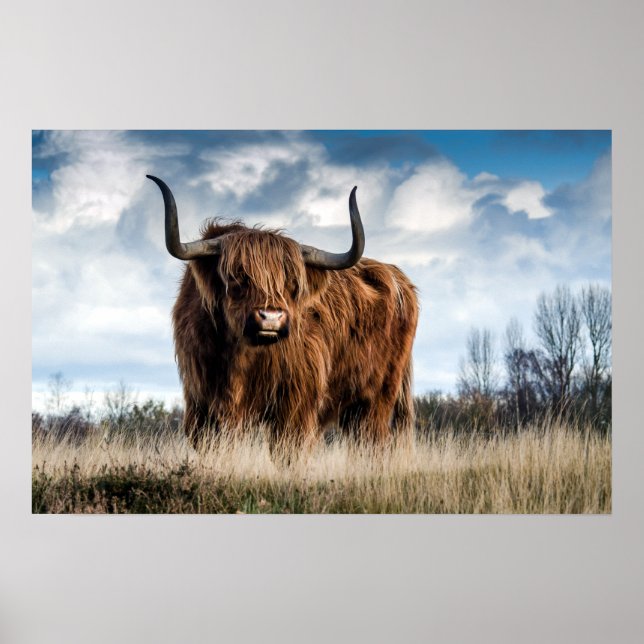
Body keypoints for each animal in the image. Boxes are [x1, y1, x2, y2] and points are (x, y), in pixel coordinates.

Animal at [147, 174, 418, 452]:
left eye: (292, 283)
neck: (240, 356)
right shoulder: (201, 403)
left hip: (376, 399)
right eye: (237, 276)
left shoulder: (295, 404)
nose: (271, 318)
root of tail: (398, 278)